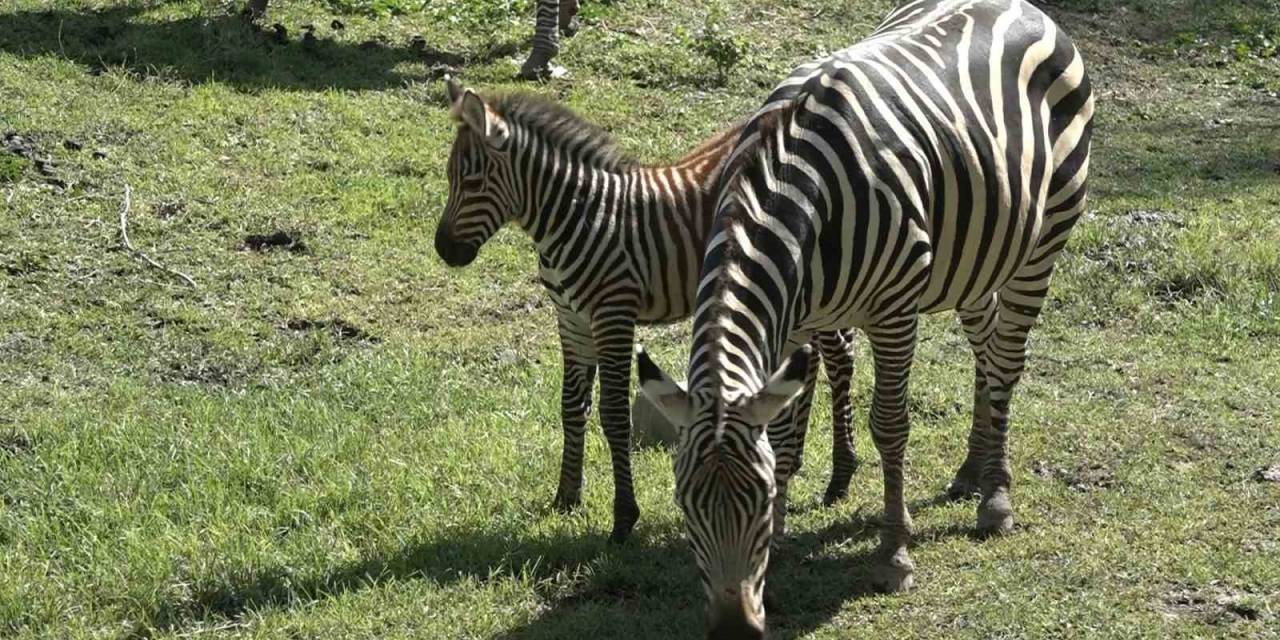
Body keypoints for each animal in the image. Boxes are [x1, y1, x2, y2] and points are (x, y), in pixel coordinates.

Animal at [434, 77, 863, 543]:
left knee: (840, 357)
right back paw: (798, 457)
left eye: (473, 180)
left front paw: (623, 519)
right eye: (451, 177)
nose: (443, 250)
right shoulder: (571, 319)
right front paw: (566, 497)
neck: (576, 217)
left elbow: (614, 416)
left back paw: (840, 478)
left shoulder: (613, 316)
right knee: (818, 356)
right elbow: (571, 406)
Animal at [637, 0, 1094, 635]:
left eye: (757, 503)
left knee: (1006, 361)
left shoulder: (893, 310)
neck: (794, 196)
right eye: (685, 504)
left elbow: (891, 425)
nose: (733, 630)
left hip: (1043, 241)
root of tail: (1024, 8)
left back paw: (995, 498)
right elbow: (784, 434)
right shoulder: (793, 324)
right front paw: (780, 554)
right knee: (985, 345)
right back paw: (971, 469)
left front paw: (893, 555)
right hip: (976, 256)